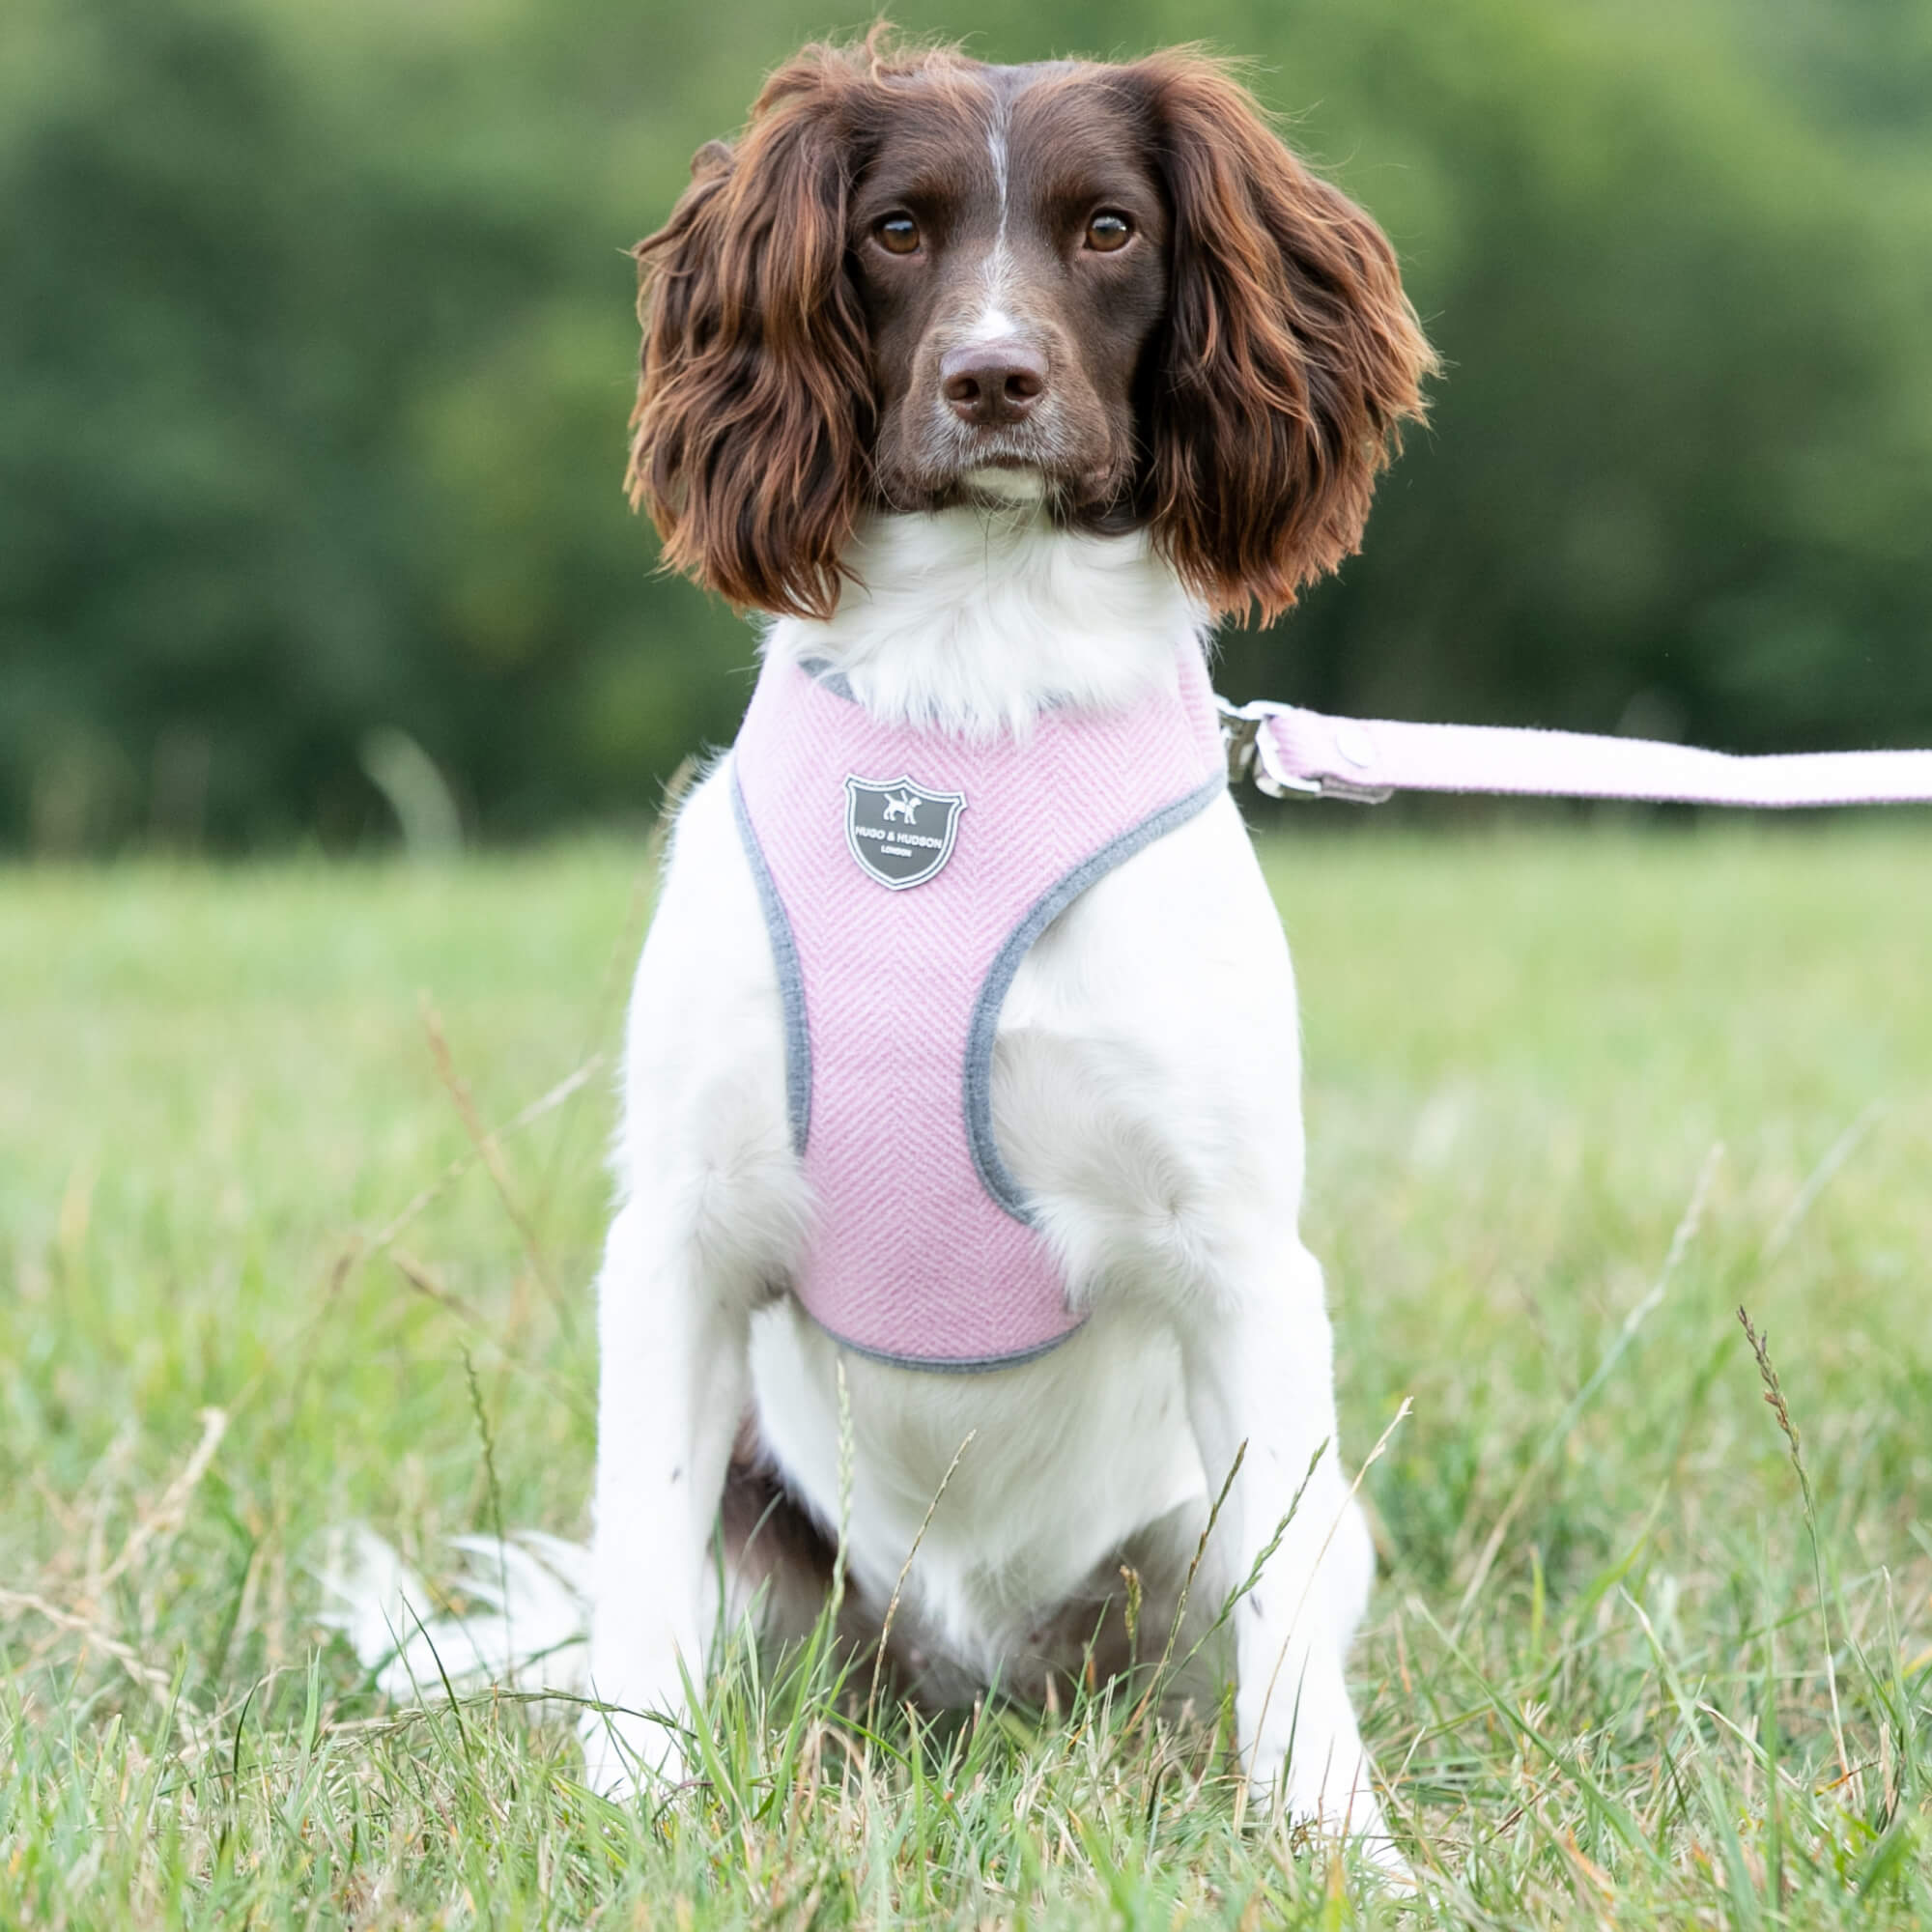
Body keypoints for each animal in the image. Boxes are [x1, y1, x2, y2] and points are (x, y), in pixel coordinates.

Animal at [580, 26, 1430, 1839]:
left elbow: (1286, 1631)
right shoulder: (678, 1232)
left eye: (1108, 228)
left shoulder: (1241, 1258)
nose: (991, 382)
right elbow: (640, 1557)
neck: (967, 701)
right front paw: (625, 1803)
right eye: (896, 230)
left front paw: (1340, 1846)